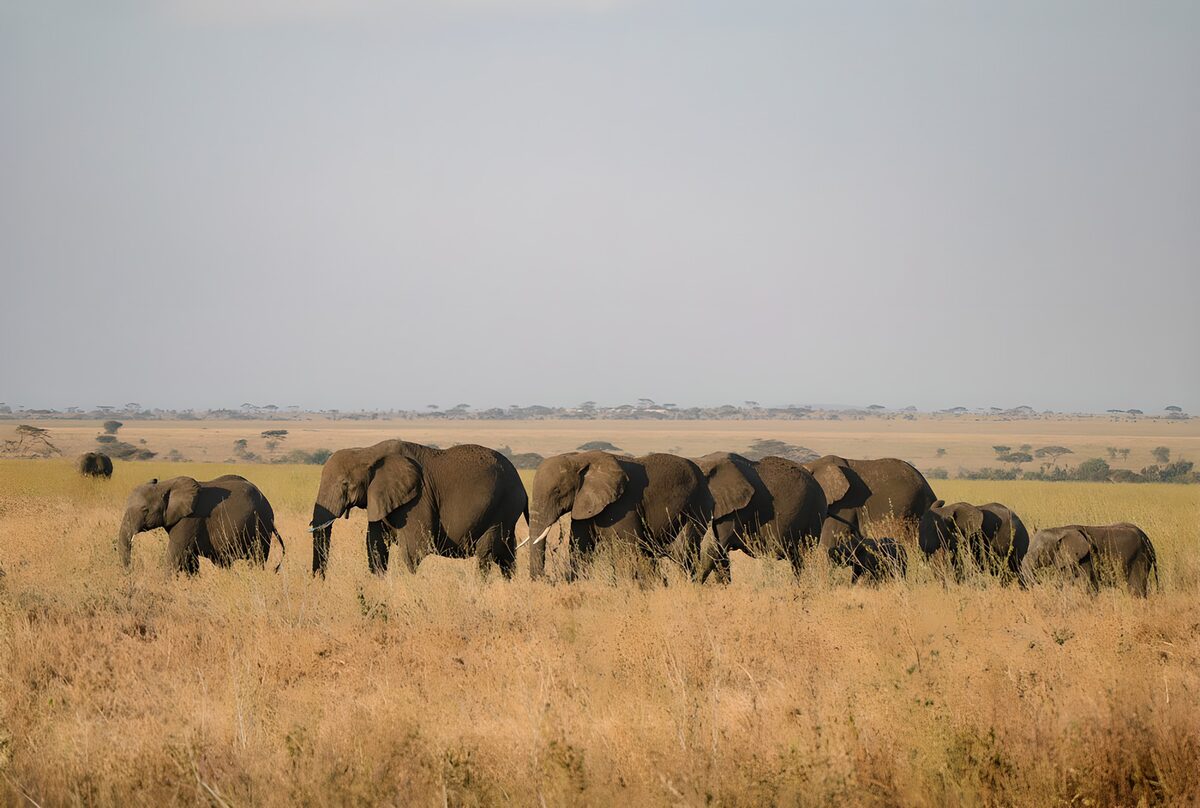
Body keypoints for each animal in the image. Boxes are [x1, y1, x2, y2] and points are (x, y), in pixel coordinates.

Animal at [117, 475, 284, 573]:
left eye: (145, 510)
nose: (131, 572)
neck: (166, 484)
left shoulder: (190, 519)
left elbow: (175, 555)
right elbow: (190, 560)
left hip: (261, 526)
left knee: (256, 559)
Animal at [309, 440, 527, 578]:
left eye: (345, 484)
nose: (319, 582)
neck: (367, 452)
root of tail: (522, 486)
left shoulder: (418, 498)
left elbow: (414, 547)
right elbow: (376, 546)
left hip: (503, 507)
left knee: (486, 554)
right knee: (506, 555)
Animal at [527, 451, 714, 581]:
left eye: (557, 491)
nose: (547, 578)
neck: (579, 458)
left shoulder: (622, 505)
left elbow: (624, 549)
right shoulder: (586, 504)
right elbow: (580, 547)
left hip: (697, 506)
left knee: (683, 552)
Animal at [1021, 524, 1157, 596]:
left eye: (1040, 552)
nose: (1039, 581)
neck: (1059, 530)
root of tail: (1148, 539)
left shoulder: (1085, 558)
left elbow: (1086, 584)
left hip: (1140, 558)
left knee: (1136, 589)